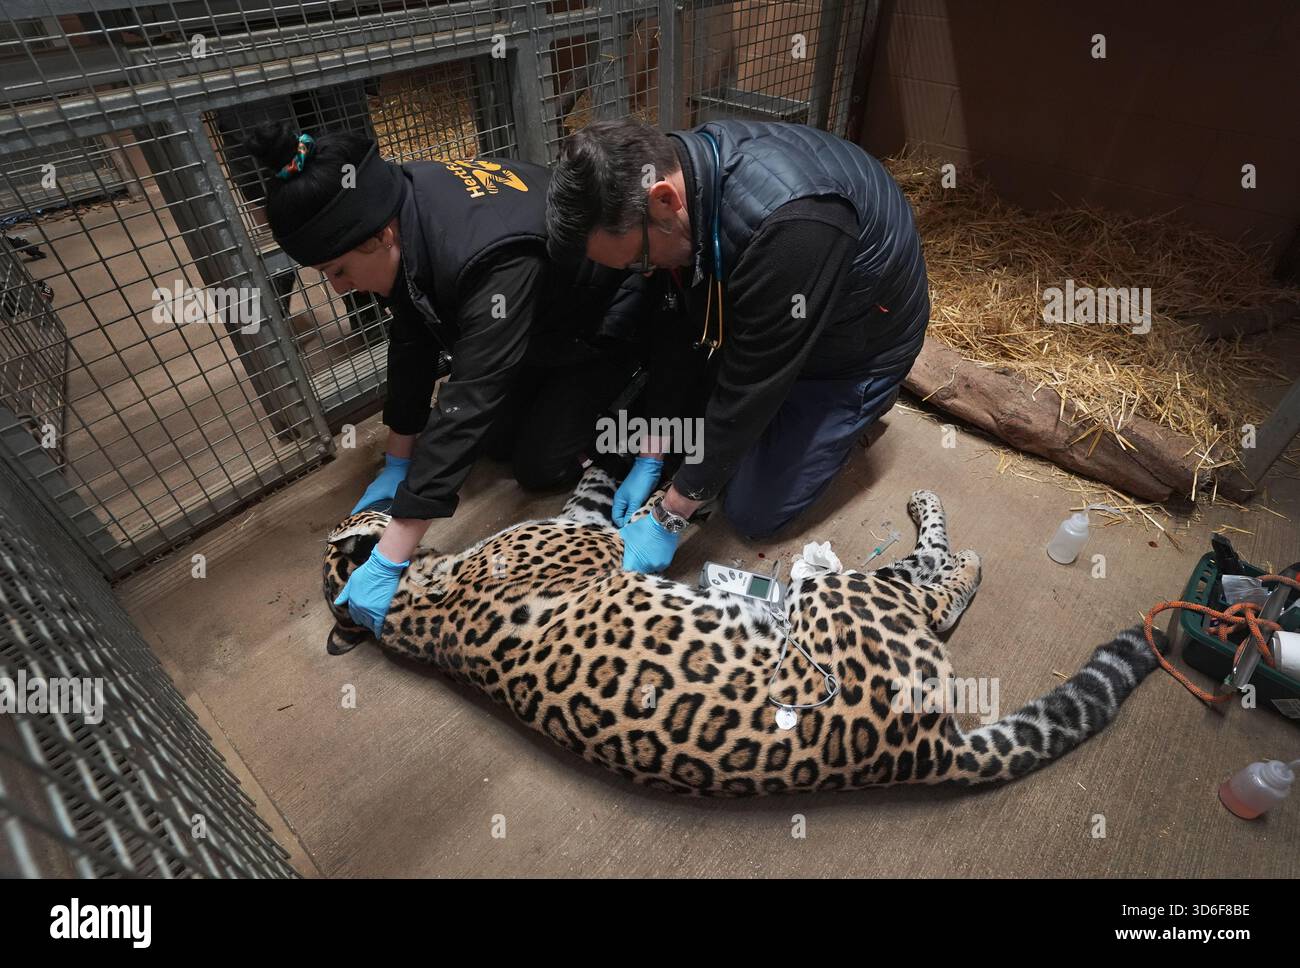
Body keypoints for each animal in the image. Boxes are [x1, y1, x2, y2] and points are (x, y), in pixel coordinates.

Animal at [322, 467, 1159, 796]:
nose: (379, 497)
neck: (417, 611)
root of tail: (920, 756)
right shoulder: (596, 542)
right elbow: (618, 504)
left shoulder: (584, 529)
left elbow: (600, 489)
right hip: (847, 604)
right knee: (932, 585)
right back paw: (945, 539)